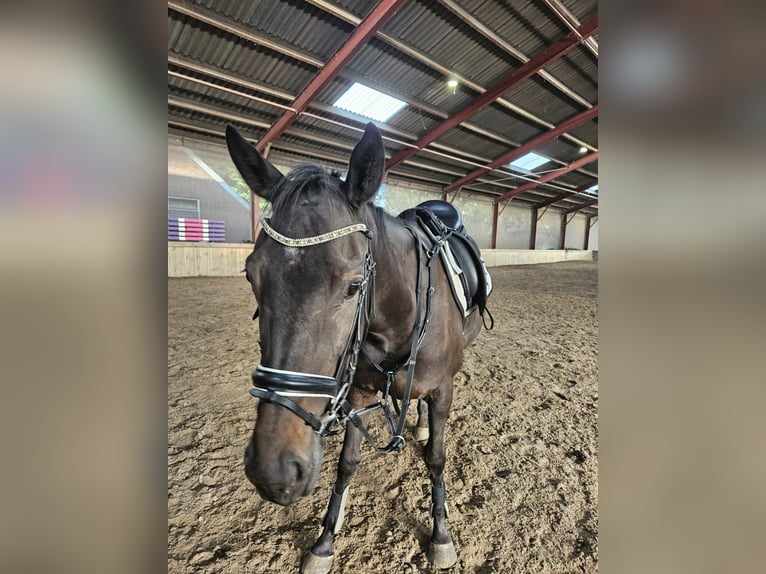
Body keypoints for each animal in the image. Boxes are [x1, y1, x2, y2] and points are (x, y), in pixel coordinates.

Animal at [225, 124, 486, 572]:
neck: (400, 315)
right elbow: (347, 463)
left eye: (353, 286)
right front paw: (324, 541)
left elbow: (436, 457)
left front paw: (440, 535)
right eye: (250, 276)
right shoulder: (360, 390)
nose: (273, 472)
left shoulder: (442, 390)